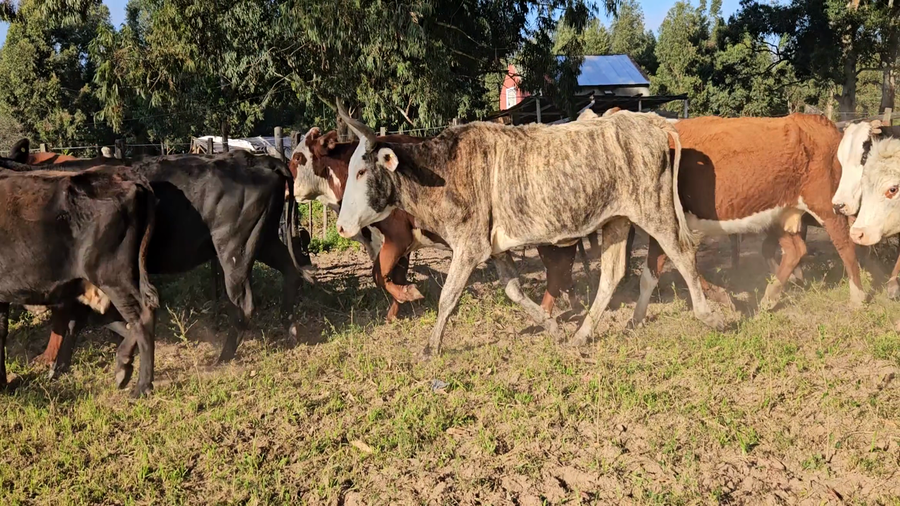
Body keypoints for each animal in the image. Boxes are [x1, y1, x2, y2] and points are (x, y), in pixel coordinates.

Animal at [2, 148, 312, 372]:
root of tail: (260, 159)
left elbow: (67, 321)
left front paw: (53, 363)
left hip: (234, 248)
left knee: (244, 302)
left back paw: (223, 357)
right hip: (264, 240)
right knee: (291, 272)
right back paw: (291, 330)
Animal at [290, 128, 597, 321]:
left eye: (298, 157)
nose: (291, 191)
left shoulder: (397, 238)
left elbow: (381, 275)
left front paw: (408, 295)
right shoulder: (397, 244)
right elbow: (390, 274)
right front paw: (395, 312)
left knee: (557, 272)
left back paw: (546, 313)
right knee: (562, 273)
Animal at [334, 102, 723, 359]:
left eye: (361, 172)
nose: (340, 226)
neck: (443, 169)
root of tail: (650, 121)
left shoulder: (469, 246)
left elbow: (448, 297)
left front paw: (430, 348)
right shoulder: (494, 248)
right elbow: (513, 290)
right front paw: (552, 328)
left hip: (654, 209)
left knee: (683, 253)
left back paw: (708, 316)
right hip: (616, 220)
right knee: (612, 274)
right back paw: (582, 335)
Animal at [632, 113, 864, 326]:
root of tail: (816, 120)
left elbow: (681, 269)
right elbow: (652, 275)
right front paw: (636, 320)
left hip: (829, 206)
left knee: (845, 245)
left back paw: (857, 297)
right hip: (779, 215)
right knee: (795, 250)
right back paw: (770, 298)